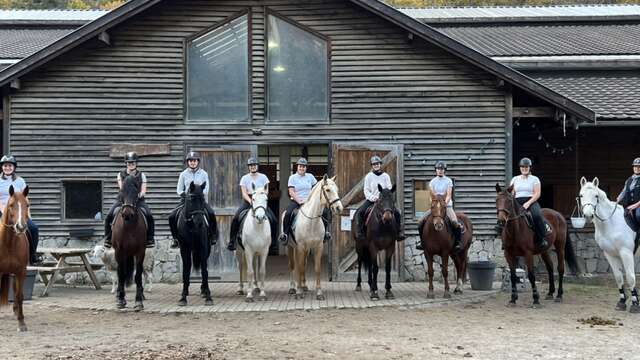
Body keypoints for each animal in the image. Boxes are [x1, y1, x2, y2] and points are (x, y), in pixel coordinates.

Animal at [113, 176, 148, 310]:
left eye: (135, 192)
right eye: (121, 191)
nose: (127, 214)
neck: (129, 225)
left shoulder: (140, 251)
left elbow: (138, 275)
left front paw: (138, 301)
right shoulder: (119, 251)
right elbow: (121, 274)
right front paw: (121, 300)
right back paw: (118, 294)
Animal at [580, 177, 640, 312]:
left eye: (596, 196)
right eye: (581, 195)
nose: (588, 215)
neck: (611, 223)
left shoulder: (626, 253)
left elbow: (630, 277)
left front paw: (634, 304)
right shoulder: (610, 254)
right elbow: (618, 277)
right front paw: (622, 302)